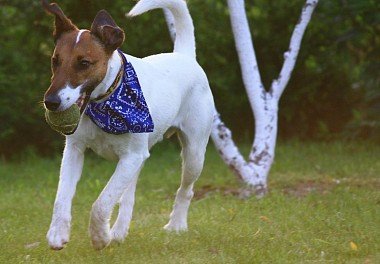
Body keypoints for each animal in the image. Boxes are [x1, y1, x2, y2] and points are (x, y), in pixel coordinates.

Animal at [42, 0, 214, 250]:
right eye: (55, 61)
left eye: (84, 63)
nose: (51, 102)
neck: (105, 103)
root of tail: (184, 56)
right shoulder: (75, 150)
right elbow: (62, 196)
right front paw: (58, 232)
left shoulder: (131, 157)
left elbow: (102, 202)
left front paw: (99, 236)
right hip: (139, 159)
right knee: (128, 197)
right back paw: (119, 231)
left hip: (193, 153)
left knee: (186, 190)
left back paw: (176, 225)